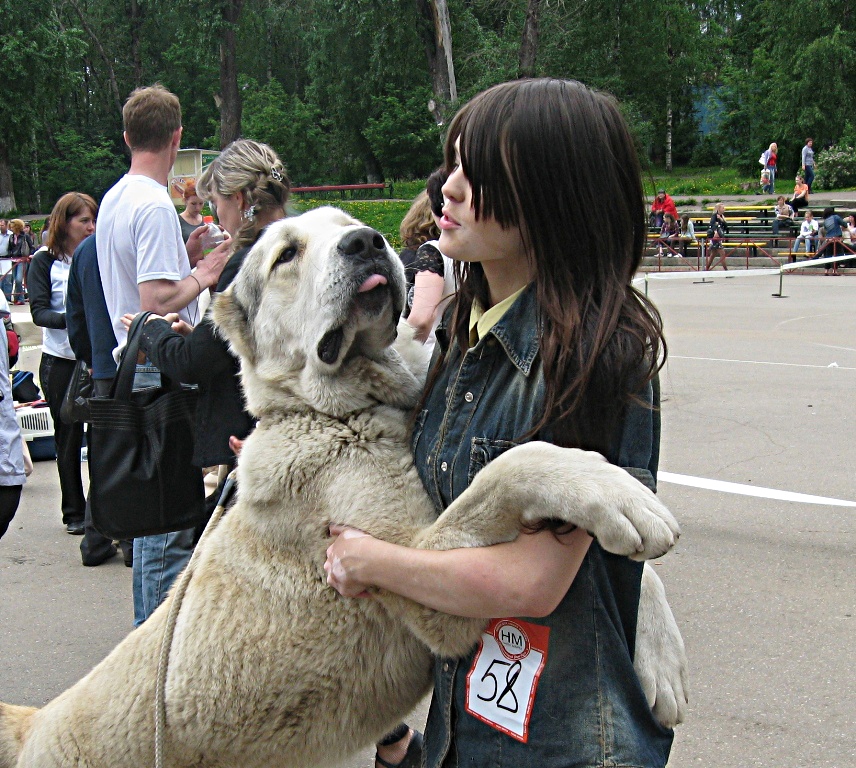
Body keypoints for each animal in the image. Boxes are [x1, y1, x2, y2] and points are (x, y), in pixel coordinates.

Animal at [0, 208, 684, 768]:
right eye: (286, 255)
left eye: (348, 224)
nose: (365, 242)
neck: (339, 412)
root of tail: (32, 726)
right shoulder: (433, 587)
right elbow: (511, 466)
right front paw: (611, 491)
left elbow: (638, 569)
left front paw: (662, 658)